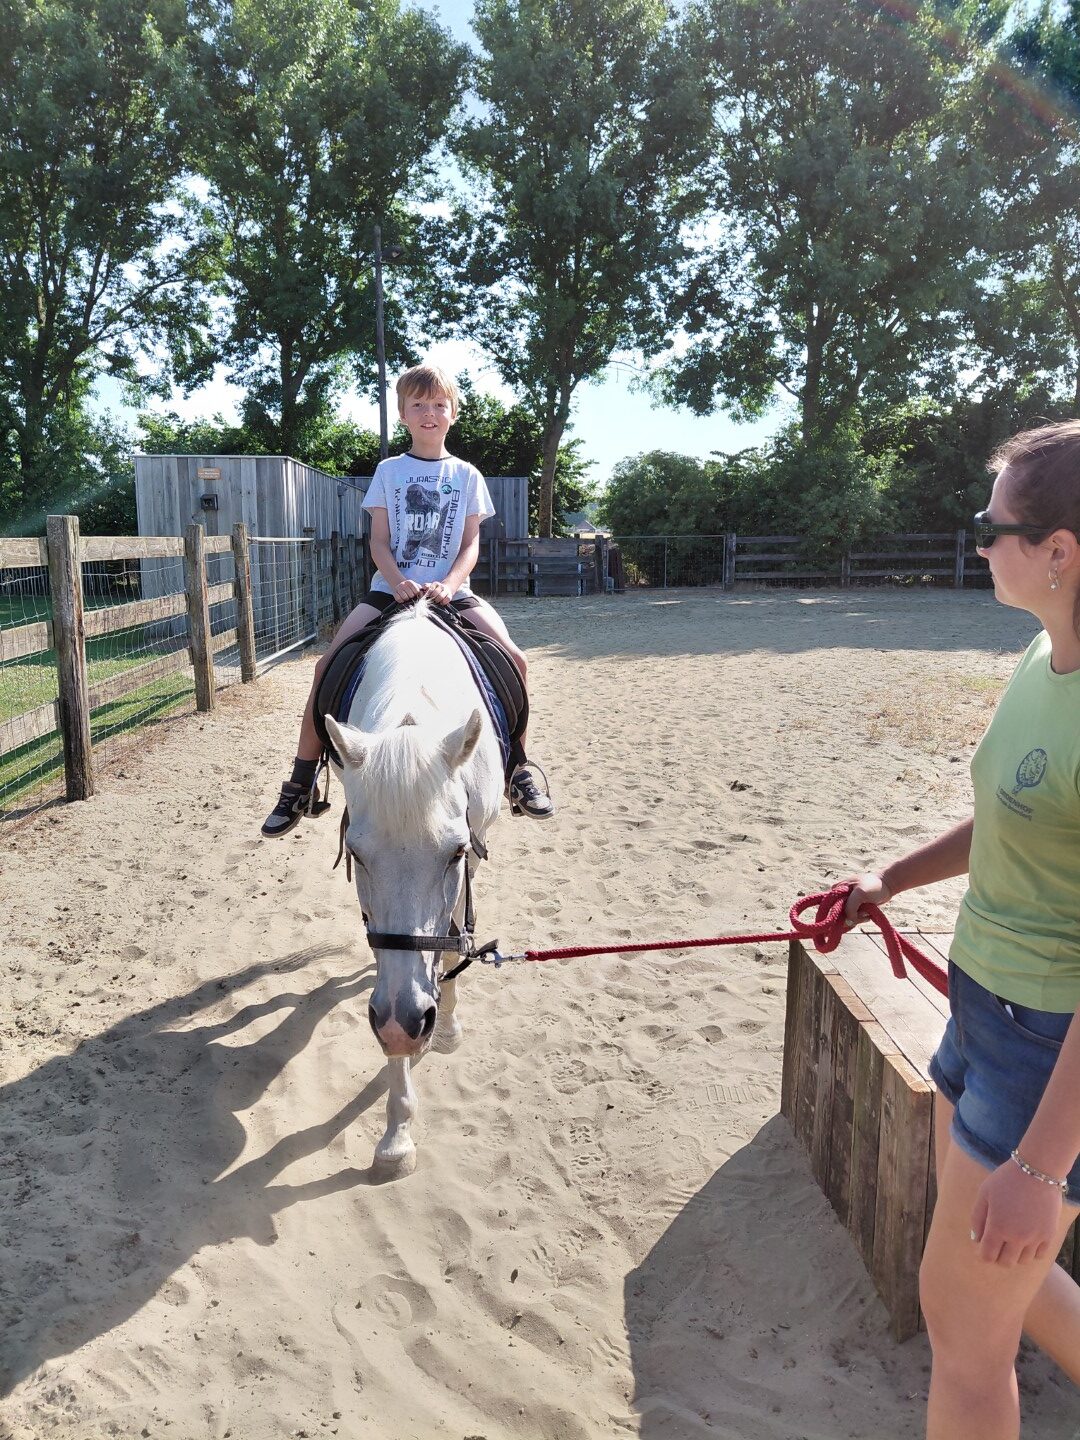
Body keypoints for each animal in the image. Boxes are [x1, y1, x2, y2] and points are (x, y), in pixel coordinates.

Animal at [324, 599, 504, 1177]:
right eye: (357, 855)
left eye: (455, 853)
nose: (407, 1021)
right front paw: (396, 1135)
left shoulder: (472, 857)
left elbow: (451, 940)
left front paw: (444, 1028)